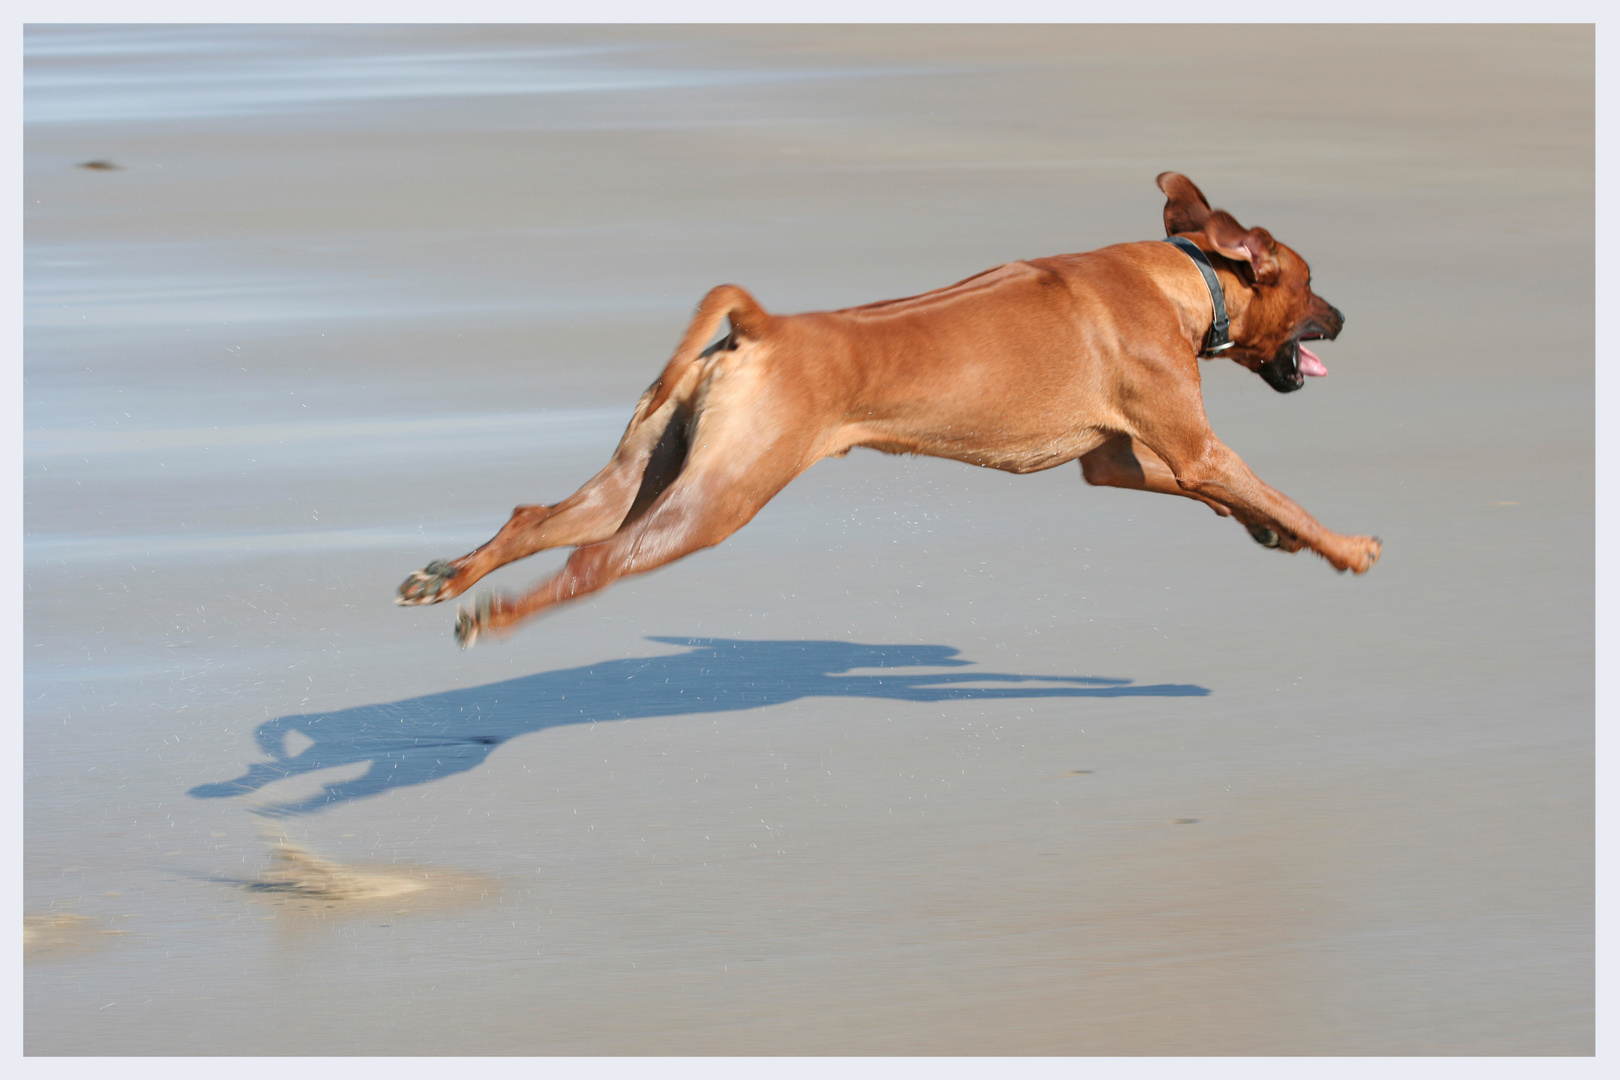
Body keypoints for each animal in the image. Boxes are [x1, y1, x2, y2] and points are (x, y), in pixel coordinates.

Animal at [395, 175, 1380, 650]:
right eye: (1311, 283)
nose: (1344, 317)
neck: (1184, 276)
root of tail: (762, 325)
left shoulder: (1121, 458)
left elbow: (1216, 493)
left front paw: (1269, 535)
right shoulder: (1192, 444)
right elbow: (1264, 488)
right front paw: (1344, 547)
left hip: (651, 470)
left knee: (540, 517)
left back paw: (452, 577)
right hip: (715, 502)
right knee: (594, 561)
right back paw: (496, 616)